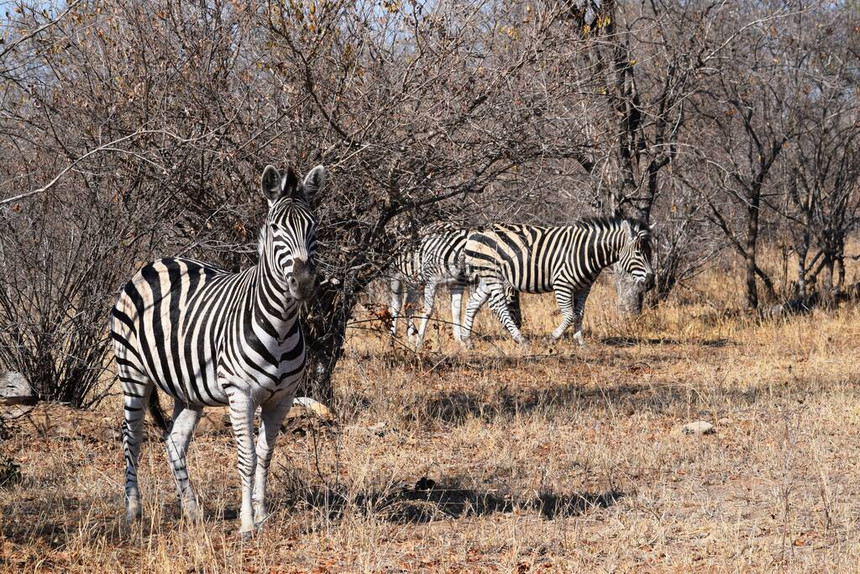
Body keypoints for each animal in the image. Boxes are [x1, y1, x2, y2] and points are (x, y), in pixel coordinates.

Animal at [111, 164, 326, 536]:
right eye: (275, 228)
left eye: (313, 226)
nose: (304, 284)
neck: (281, 323)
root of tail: (154, 262)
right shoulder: (240, 394)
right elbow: (247, 457)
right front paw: (247, 523)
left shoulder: (282, 398)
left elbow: (266, 454)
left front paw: (263, 514)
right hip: (133, 374)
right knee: (132, 438)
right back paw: (133, 512)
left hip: (187, 389)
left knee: (174, 442)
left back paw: (192, 510)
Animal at [392, 227, 524, 348]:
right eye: (512, 299)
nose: (519, 324)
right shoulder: (431, 281)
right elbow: (428, 311)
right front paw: (419, 343)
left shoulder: (457, 284)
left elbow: (456, 311)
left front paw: (459, 341)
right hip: (395, 275)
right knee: (396, 305)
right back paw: (393, 338)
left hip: (414, 282)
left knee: (408, 306)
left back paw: (410, 338)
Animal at [464, 218, 652, 348]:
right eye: (638, 253)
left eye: (650, 252)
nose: (650, 281)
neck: (588, 252)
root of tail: (476, 232)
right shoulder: (563, 284)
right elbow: (569, 316)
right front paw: (550, 339)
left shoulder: (584, 287)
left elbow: (579, 314)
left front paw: (581, 343)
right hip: (492, 275)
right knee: (500, 306)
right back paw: (521, 340)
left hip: (487, 277)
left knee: (473, 302)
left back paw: (466, 340)